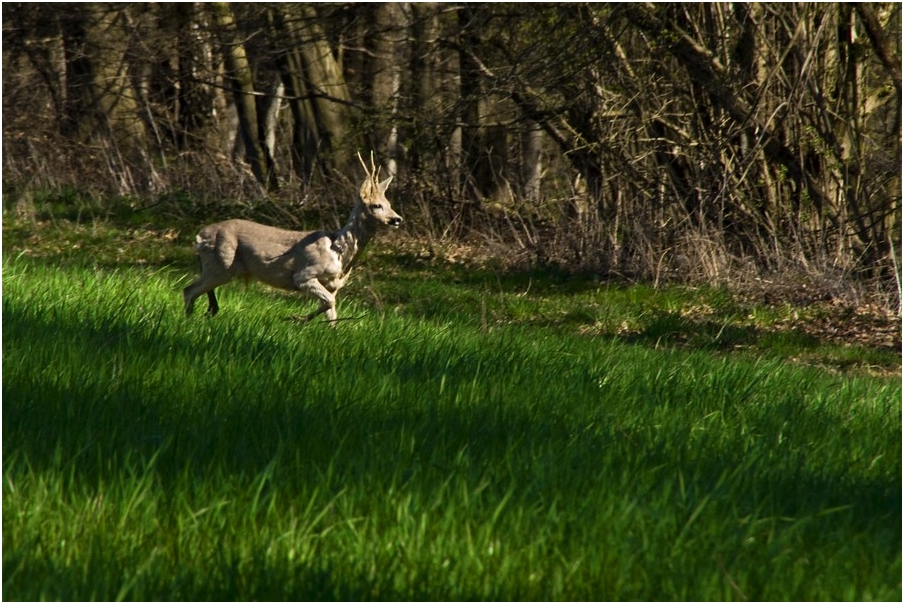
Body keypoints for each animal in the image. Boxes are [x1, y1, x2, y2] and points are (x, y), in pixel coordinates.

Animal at [182, 152, 400, 320]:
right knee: (188, 290)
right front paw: (296, 319)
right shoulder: (304, 274)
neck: (338, 253)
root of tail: (199, 237)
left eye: (390, 204)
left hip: (217, 266)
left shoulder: (333, 285)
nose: (397, 219)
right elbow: (329, 302)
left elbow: (331, 312)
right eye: (376, 205)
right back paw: (189, 321)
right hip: (221, 265)